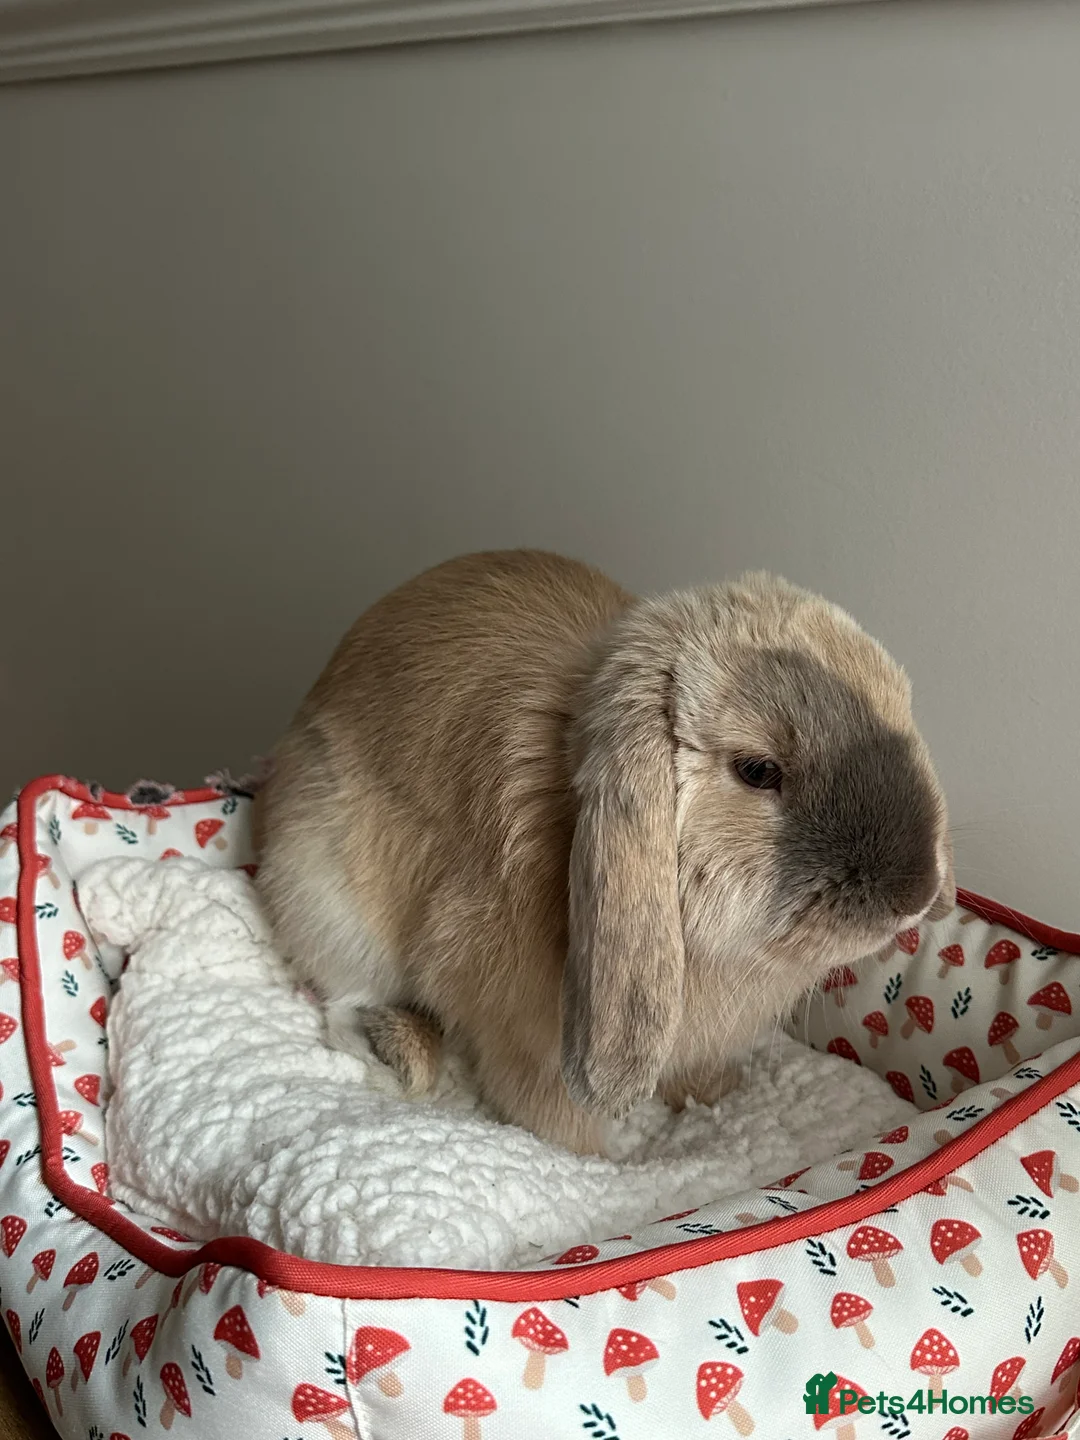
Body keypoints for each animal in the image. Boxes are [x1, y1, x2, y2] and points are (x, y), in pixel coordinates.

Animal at [253, 549, 954, 1156]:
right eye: (758, 771)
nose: (916, 892)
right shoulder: (521, 1044)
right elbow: (551, 1116)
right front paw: (608, 1162)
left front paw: (713, 1095)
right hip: (326, 898)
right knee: (342, 1001)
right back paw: (401, 1053)